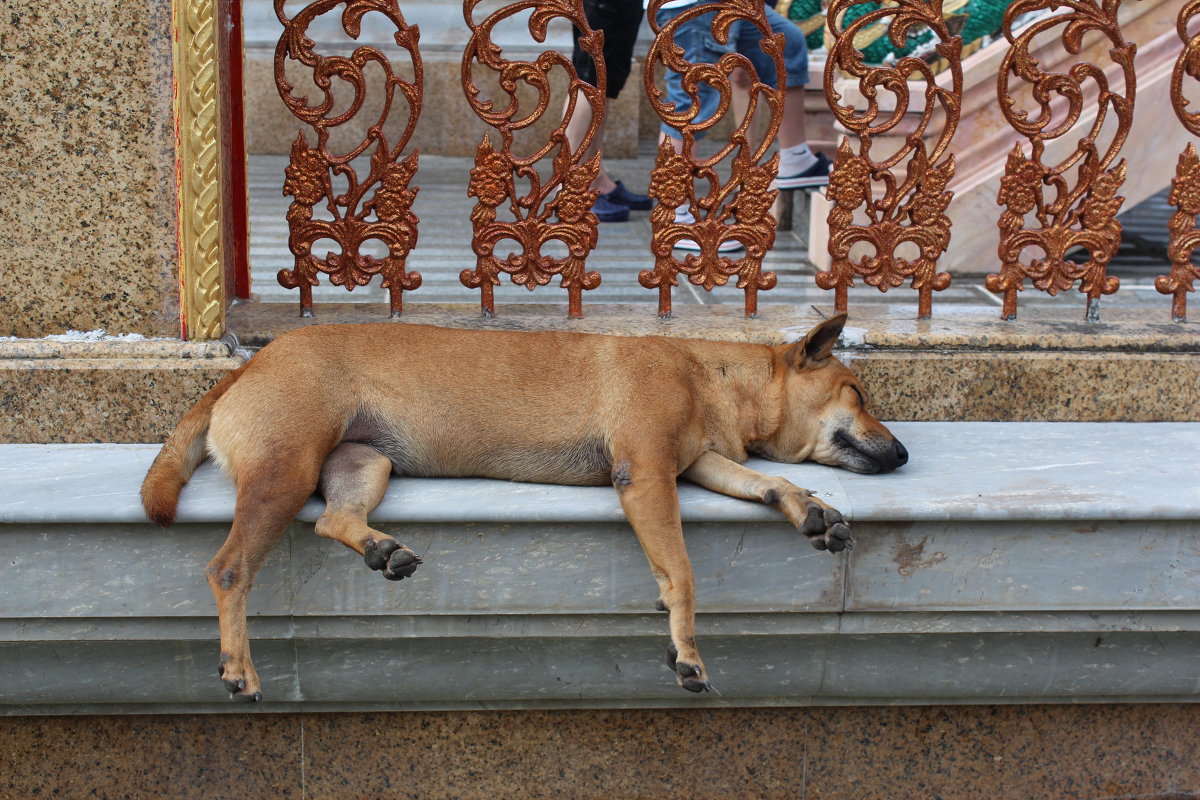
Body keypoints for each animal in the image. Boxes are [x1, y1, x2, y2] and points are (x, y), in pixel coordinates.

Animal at [140, 311, 902, 700]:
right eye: (858, 394)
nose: (901, 455)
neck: (709, 375)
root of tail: (245, 368)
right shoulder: (647, 475)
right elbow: (680, 572)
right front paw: (686, 650)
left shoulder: (699, 463)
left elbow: (769, 484)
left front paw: (812, 511)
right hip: (283, 470)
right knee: (229, 568)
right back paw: (238, 666)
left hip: (363, 463)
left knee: (333, 517)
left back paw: (384, 550)